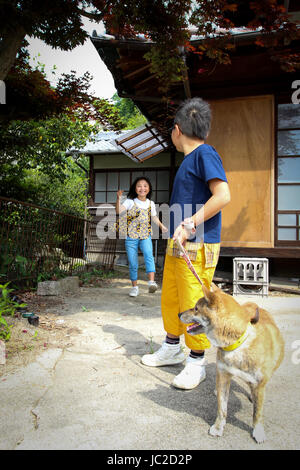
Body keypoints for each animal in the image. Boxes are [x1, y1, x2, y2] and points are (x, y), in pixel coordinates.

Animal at [179, 282, 284, 444]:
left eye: (196, 308)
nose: (179, 314)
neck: (237, 343)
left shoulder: (259, 383)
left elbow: (257, 413)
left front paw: (258, 431)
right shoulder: (223, 374)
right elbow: (222, 408)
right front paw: (218, 427)